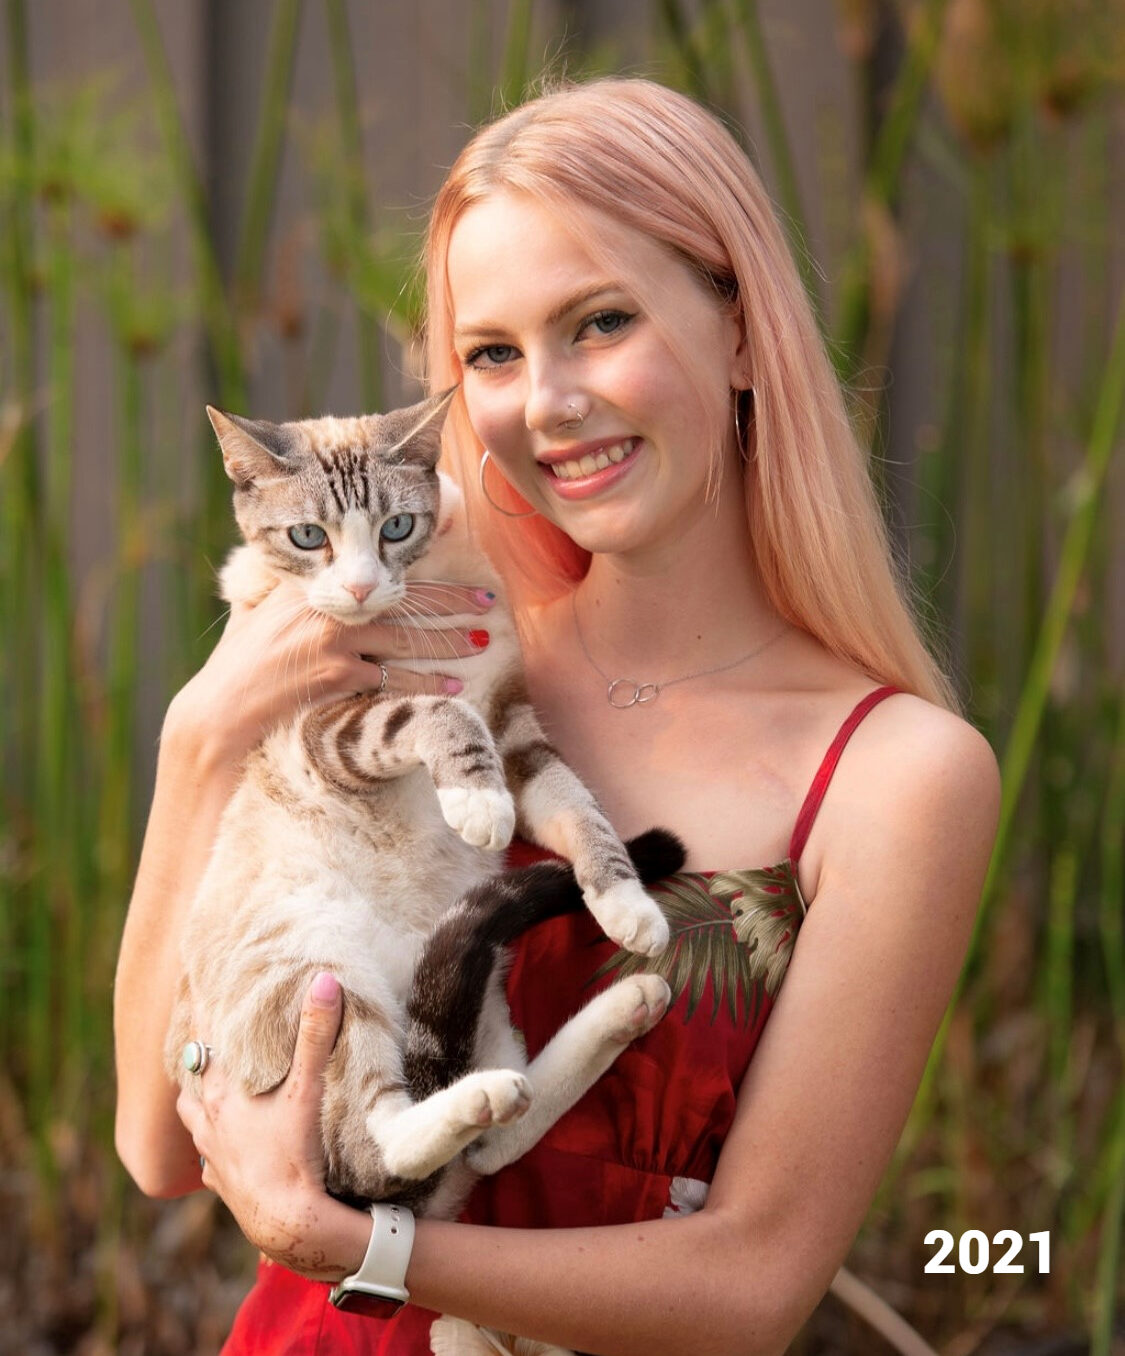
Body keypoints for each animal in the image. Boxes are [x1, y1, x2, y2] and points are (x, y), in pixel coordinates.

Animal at [167, 388, 676, 1227]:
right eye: (308, 537)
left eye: (396, 527)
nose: (360, 589)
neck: (421, 604)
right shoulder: (324, 727)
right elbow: (438, 714)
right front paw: (475, 804)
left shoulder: (516, 731)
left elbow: (578, 810)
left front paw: (625, 904)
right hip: (323, 967)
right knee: (370, 1153)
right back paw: (479, 1098)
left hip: (486, 992)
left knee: (488, 1139)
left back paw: (622, 1010)